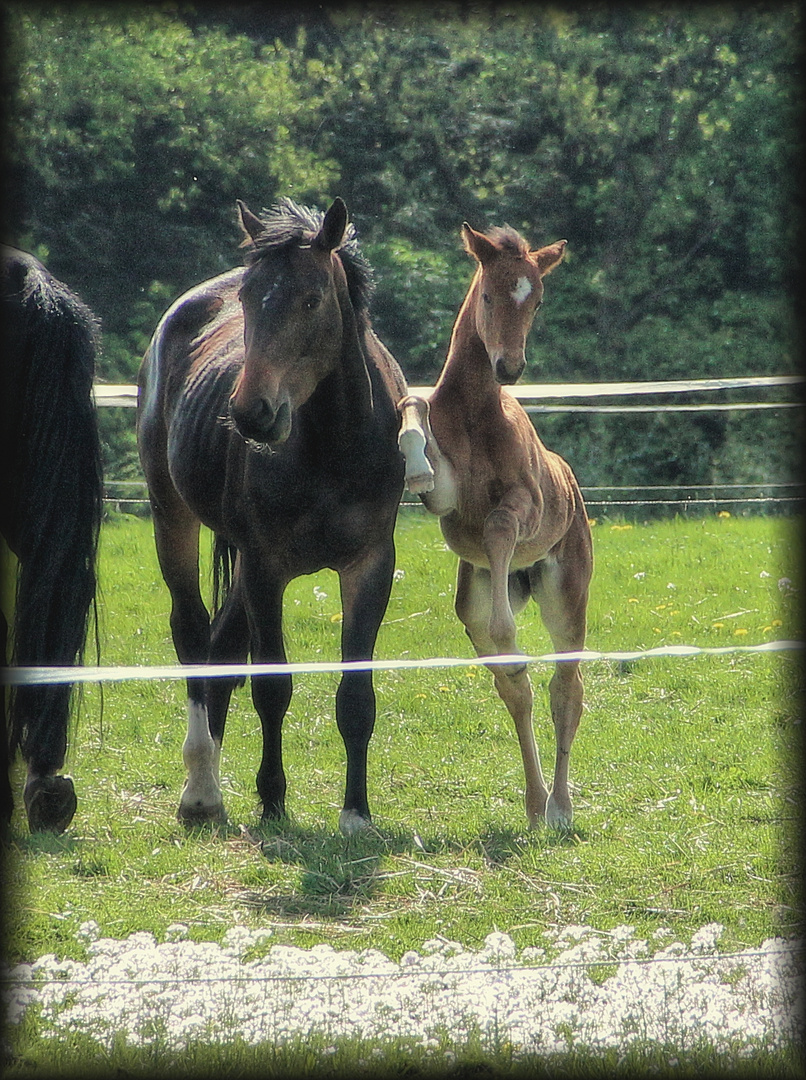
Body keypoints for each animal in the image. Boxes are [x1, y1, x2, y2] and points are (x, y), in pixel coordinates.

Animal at [136, 196, 408, 833]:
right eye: (247, 298)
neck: (335, 445)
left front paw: (355, 813)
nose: (251, 413)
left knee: (220, 646)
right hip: (171, 516)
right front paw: (273, 802)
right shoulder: (266, 567)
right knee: (193, 635)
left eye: (311, 299)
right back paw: (202, 793)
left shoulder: (369, 566)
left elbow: (356, 696)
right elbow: (273, 687)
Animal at [395, 219, 592, 825]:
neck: (476, 414)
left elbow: (500, 526)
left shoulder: (526, 501)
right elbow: (413, 409)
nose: (509, 367)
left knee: (566, 688)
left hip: (565, 593)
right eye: (487, 294)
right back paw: (534, 802)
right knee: (516, 688)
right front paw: (412, 466)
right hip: (474, 595)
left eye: (537, 297)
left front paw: (508, 629)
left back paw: (559, 808)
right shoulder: (445, 500)